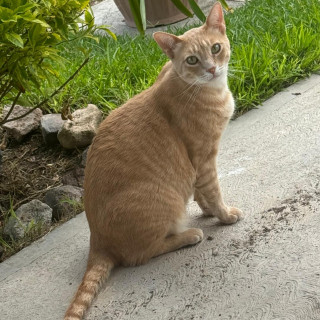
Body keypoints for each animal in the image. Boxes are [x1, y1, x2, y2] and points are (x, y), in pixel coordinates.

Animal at [64, 1, 240, 318]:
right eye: (192, 60)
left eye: (216, 48)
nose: (211, 68)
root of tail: (97, 241)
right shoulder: (203, 159)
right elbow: (213, 191)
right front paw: (223, 215)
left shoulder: (196, 169)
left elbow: (202, 193)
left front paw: (209, 211)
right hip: (165, 202)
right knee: (141, 254)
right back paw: (188, 235)